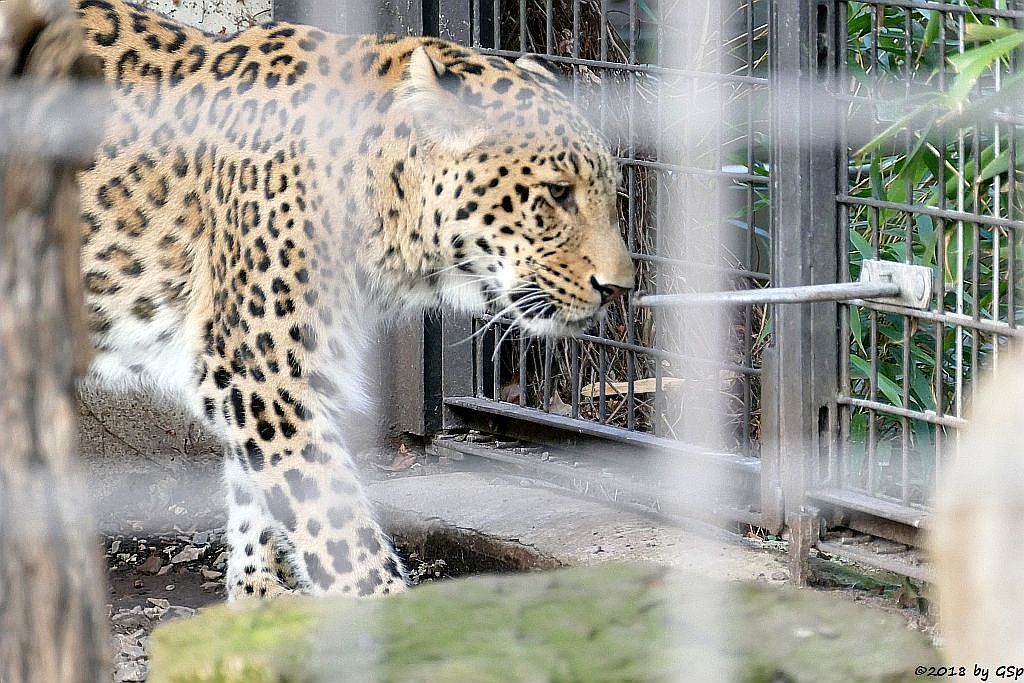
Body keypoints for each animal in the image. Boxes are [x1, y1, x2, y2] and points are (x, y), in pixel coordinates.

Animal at [74, 0, 630, 598]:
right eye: (557, 193)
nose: (620, 287)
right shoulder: (264, 374)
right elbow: (340, 534)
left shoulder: (255, 384)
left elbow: (257, 509)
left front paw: (256, 602)